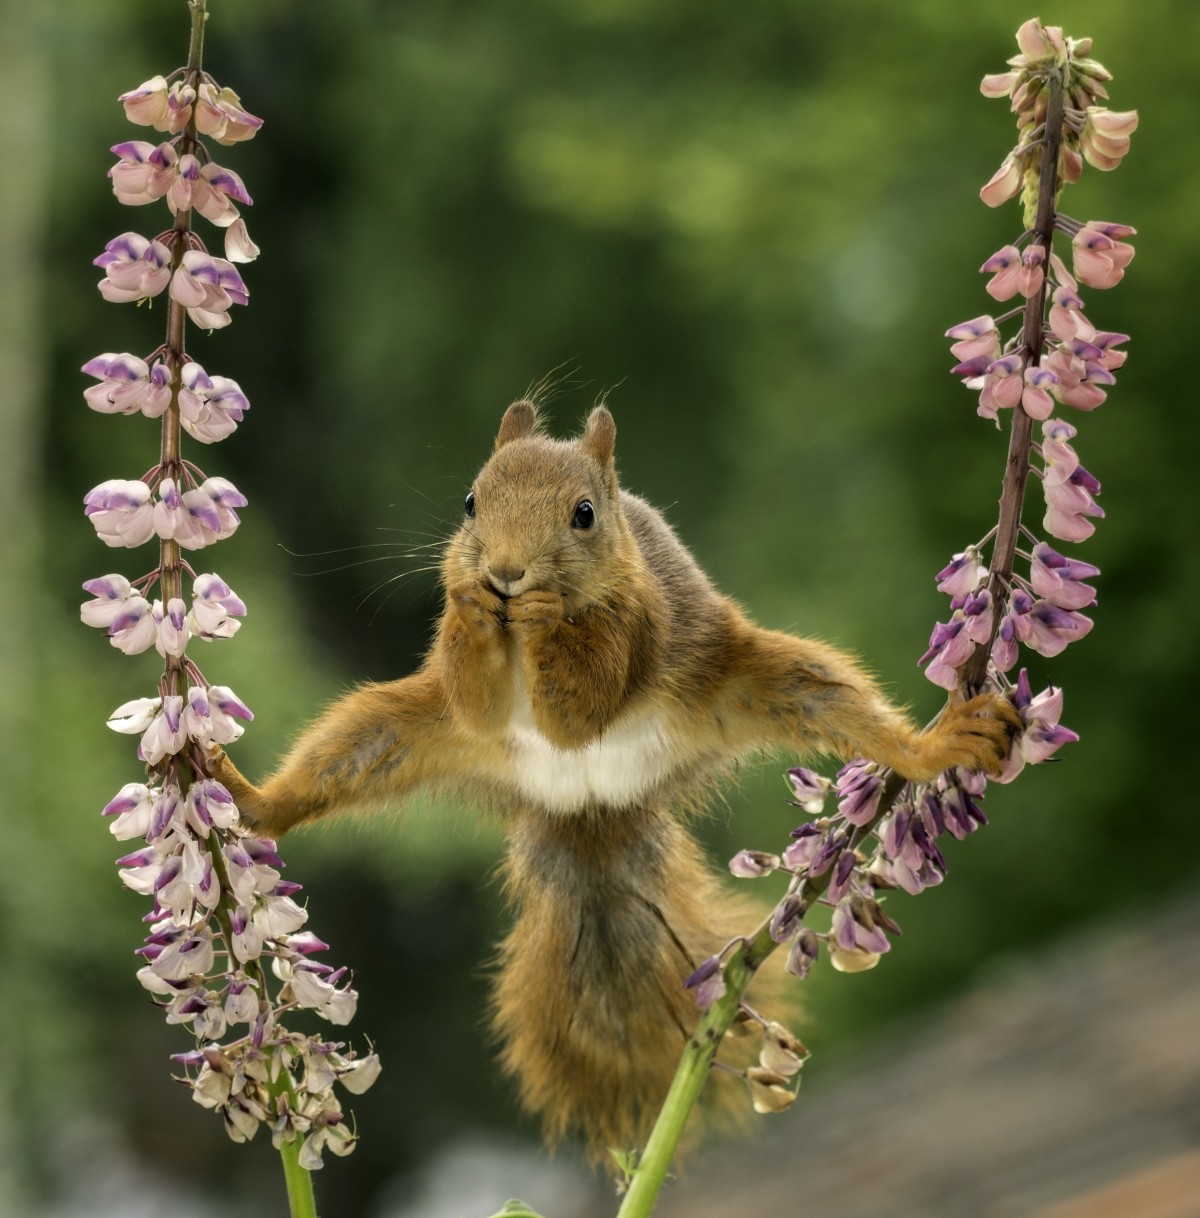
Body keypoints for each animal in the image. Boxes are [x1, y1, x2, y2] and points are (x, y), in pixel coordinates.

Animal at [209, 400, 1019, 1157]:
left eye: (584, 515)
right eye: (470, 502)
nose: (506, 573)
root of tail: (590, 805)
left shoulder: (638, 624)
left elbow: (583, 705)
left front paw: (541, 615)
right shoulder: (467, 700)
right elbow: (474, 697)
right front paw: (472, 604)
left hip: (756, 682)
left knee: (833, 701)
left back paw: (934, 745)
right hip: (396, 731)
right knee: (343, 756)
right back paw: (252, 802)